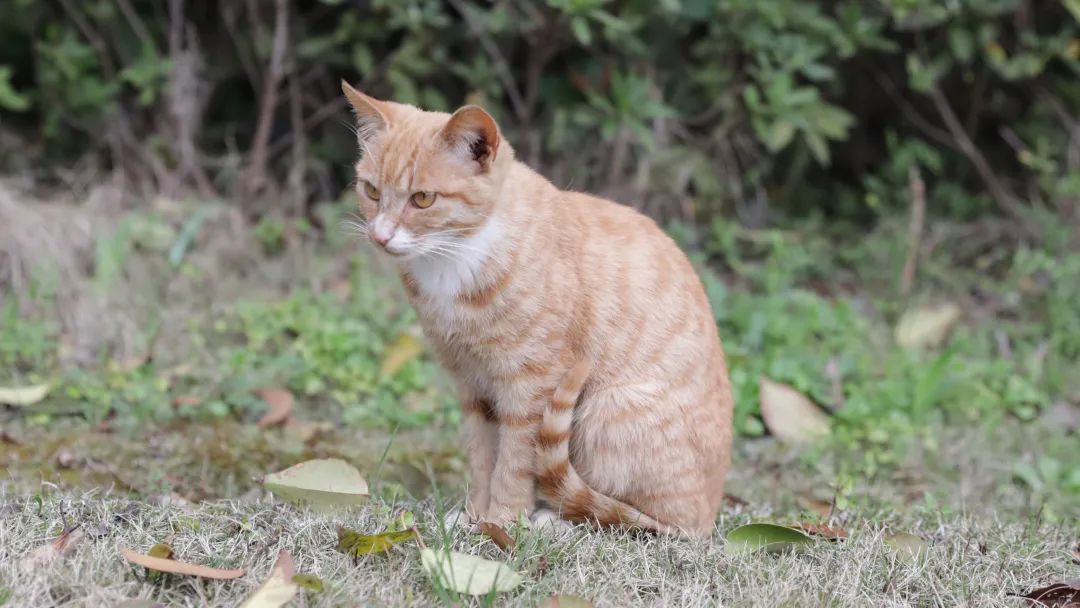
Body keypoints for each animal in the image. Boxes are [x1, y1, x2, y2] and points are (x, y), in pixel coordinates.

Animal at [343, 80, 734, 537]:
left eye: (423, 199)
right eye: (371, 191)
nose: (380, 236)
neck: (455, 261)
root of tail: (710, 515)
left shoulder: (532, 384)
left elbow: (514, 462)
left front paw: (502, 522)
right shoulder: (472, 385)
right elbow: (482, 458)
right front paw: (475, 516)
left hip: (607, 412)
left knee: (635, 518)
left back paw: (556, 520)